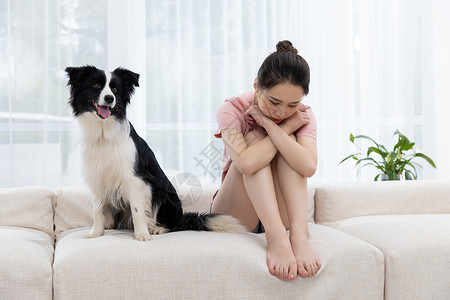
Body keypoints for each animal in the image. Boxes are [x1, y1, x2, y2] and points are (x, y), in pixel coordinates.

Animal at [65, 66, 244, 241]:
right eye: (95, 85)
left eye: (115, 89)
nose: (110, 98)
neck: (103, 132)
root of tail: (181, 218)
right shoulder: (97, 178)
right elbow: (98, 209)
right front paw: (95, 233)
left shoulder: (135, 180)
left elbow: (137, 210)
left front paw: (142, 235)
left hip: (163, 194)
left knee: (169, 224)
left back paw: (156, 228)